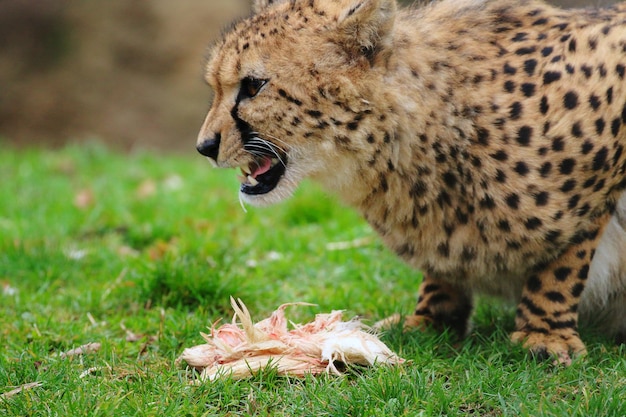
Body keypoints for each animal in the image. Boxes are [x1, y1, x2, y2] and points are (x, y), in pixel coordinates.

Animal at [195, 0, 624, 360]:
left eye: (253, 85)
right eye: (215, 86)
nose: (204, 146)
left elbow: (566, 259)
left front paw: (544, 333)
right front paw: (430, 318)